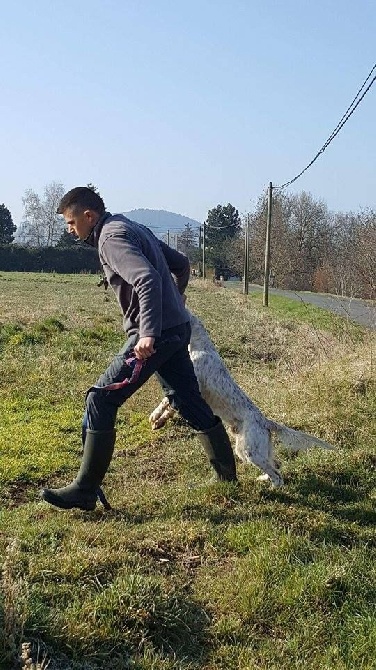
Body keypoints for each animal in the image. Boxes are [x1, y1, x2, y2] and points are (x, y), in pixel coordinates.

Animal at [150, 310, 332, 488]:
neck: (200, 346)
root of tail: (266, 422)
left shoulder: (191, 387)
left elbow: (165, 402)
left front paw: (154, 416)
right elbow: (170, 406)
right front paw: (159, 421)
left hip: (250, 451)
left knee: (277, 476)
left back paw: (272, 488)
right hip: (250, 450)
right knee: (276, 465)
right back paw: (263, 478)